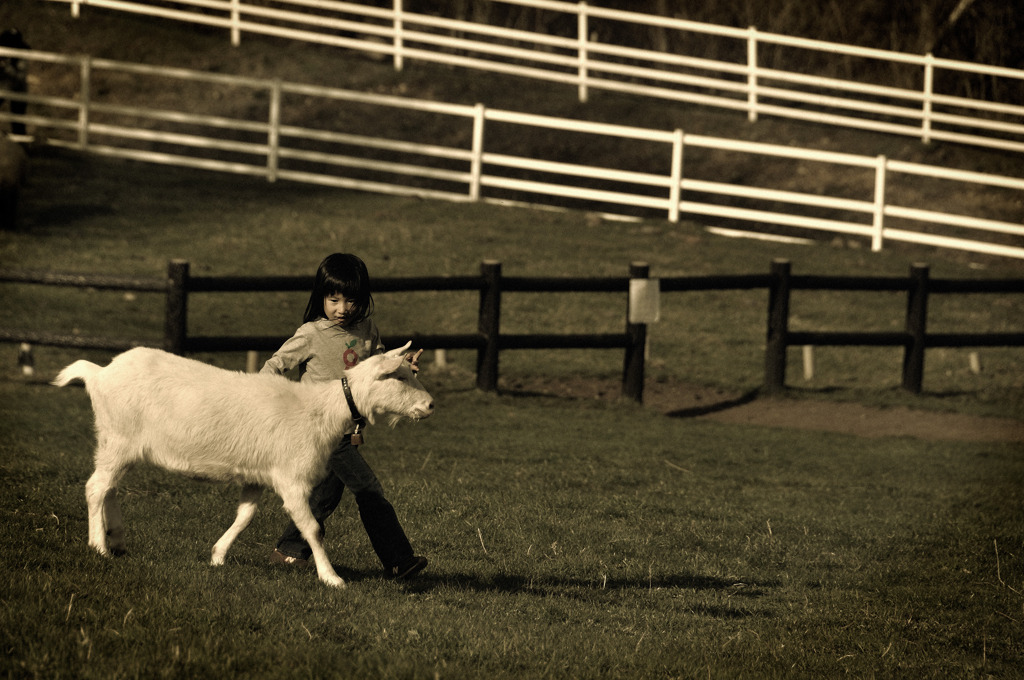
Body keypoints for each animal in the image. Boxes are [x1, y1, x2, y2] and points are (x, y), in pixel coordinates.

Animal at [51, 342, 432, 585]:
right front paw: (331, 578)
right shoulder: (292, 479)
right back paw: (98, 546)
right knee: (96, 487)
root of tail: (100, 373)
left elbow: (245, 515)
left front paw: (218, 555)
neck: (320, 411)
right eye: (398, 377)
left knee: (109, 488)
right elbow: (312, 528)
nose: (429, 405)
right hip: (117, 437)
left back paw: (116, 538)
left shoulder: (257, 475)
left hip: (120, 444)